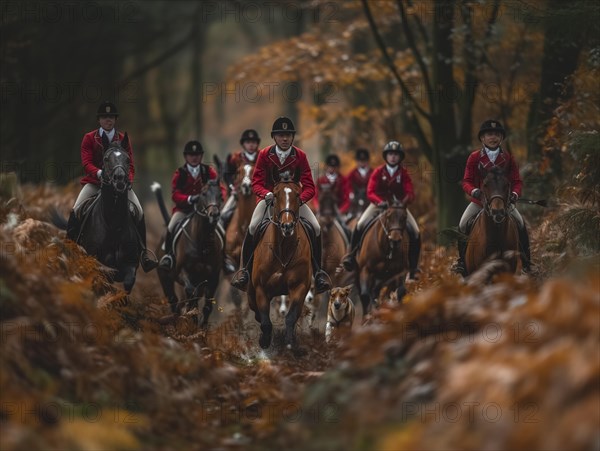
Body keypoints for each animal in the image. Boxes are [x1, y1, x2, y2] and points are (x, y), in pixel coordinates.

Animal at [157, 180, 225, 328]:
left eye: (220, 195)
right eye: (203, 193)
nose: (214, 215)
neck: (203, 244)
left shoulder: (213, 277)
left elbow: (207, 307)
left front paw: (202, 329)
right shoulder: (183, 272)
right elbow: (191, 293)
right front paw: (191, 319)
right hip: (165, 278)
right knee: (174, 301)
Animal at [248, 177, 314, 350]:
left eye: (297, 195)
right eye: (276, 196)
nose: (287, 226)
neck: (283, 250)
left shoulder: (299, 287)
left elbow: (291, 317)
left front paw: (290, 343)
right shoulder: (261, 289)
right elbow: (265, 321)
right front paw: (264, 341)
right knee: (256, 312)